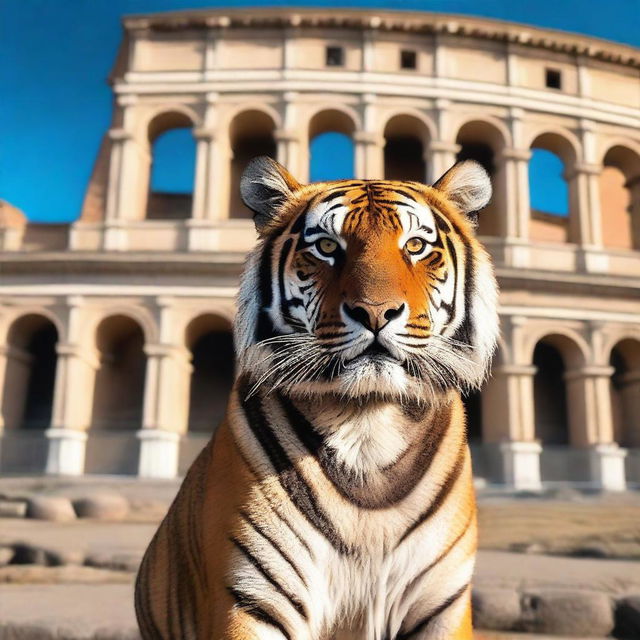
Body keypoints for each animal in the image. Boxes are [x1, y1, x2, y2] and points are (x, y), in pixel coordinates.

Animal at [135, 155, 500, 640]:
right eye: (327, 246)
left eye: (416, 246)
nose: (376, 312)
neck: (368, 424)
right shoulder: (252, 596)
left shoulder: (441, 601)